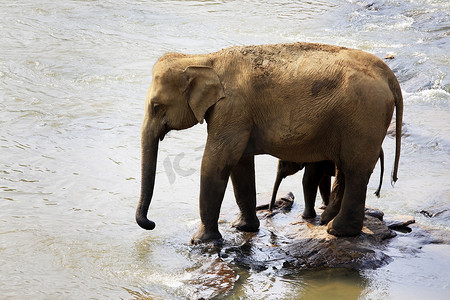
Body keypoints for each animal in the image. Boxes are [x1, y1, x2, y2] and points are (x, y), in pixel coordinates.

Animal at [135, 42, 402, 244]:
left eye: (156, 106)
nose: (151, 223)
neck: (205, 59)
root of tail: (388, 75)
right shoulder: (239, 117)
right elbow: (240, 165)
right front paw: (243, 227)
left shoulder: (232, 110)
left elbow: (216, 162)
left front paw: (200, 241)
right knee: (347, 169)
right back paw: (331, 223)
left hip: (364, 118)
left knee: (355, 170)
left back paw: (337, 231)